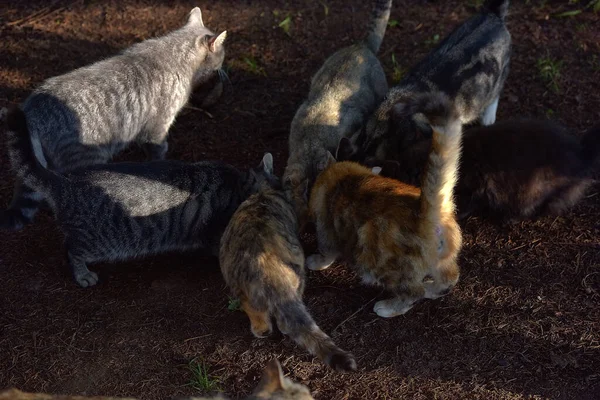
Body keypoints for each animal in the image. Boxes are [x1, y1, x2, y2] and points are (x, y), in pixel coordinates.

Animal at [5, 107, 274, 288]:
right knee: (72, 250)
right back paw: (83, 274)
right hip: (98, 242)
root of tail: (65, 182)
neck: (240, 184)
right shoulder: (216, 232)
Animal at [308, 92, 462, 318]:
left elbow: (326, 252)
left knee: (412, 292)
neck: (342, 172)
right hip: (442, 261)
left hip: (378, 261)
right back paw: (431, 290)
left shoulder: (325, 227)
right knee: (449, 280)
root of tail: (425, 211)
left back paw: (389, 307)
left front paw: (315, 262)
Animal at [356, 0, 510, 159]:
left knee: (496, 92)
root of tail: (492, 14)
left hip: (498, 76)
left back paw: (488, 119)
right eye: (363, 138)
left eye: (378, 146)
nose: (361, 155)